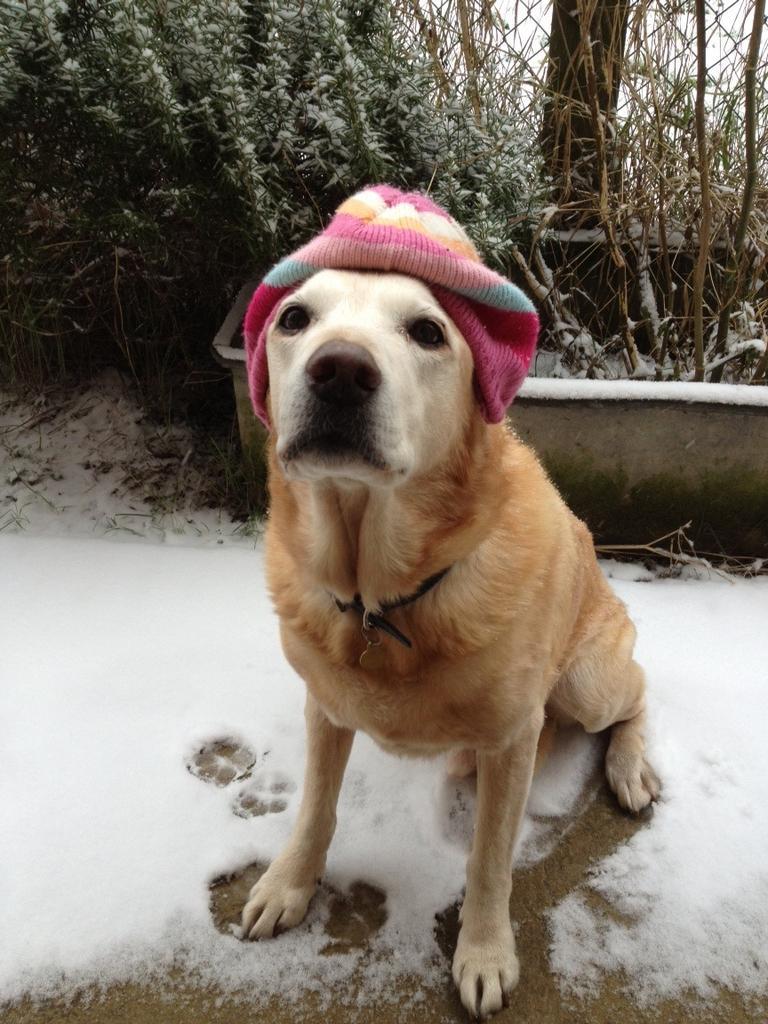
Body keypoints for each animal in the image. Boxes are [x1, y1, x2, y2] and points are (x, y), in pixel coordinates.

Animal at [241, 232, 663, 1015]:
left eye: (428, 332)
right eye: (294, 318)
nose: (340, 370)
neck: (381, 600)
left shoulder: (510, 739)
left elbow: (489, 861)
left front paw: (485, 952)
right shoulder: (325, 707)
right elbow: (315, 809)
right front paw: (289, 885)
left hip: (589, 680)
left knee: (637, 696)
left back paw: (629, 768)